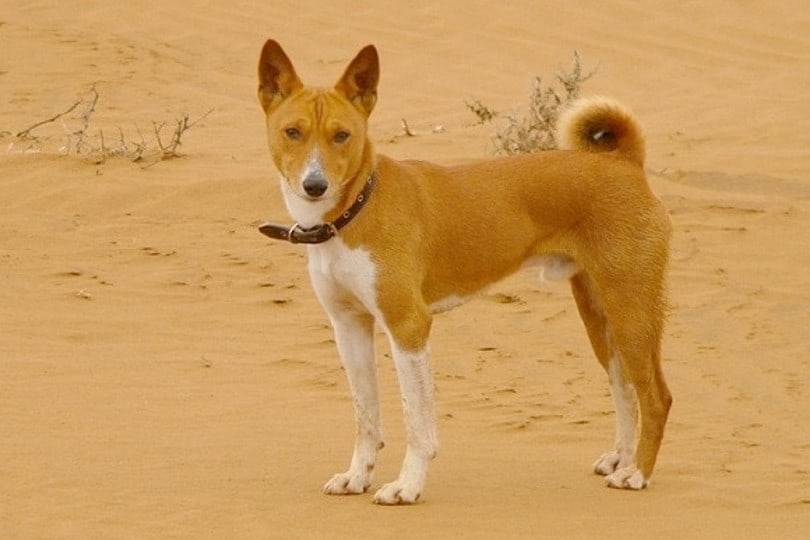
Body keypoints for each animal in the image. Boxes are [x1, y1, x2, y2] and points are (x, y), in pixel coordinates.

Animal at [258, 40, 668, 504]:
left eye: (341, 135)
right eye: (293, 132)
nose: (315, 185)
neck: (354, 210)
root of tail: (625, 163)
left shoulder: (409, 326)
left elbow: (418, 424)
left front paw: (407, 486)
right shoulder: (349, 326)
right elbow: (366, 417)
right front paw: (357, 476)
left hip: (631, 312)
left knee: (656, 398)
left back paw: (637, 474)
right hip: (600, 316)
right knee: (625, 390)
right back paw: (621, 457)